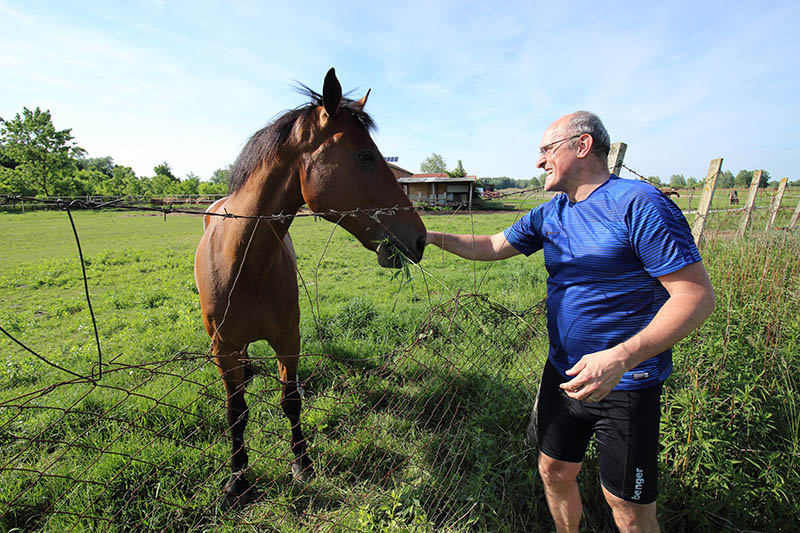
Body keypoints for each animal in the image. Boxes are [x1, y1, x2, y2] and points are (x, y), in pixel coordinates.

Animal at [193, 68, 424, 504]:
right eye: (365, 156)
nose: (419, 239)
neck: (246, 266)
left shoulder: (289, 339)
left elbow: (291, 401)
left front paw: (302, 463)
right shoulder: (223, 347)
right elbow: (236, 412)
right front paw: (238, 478)